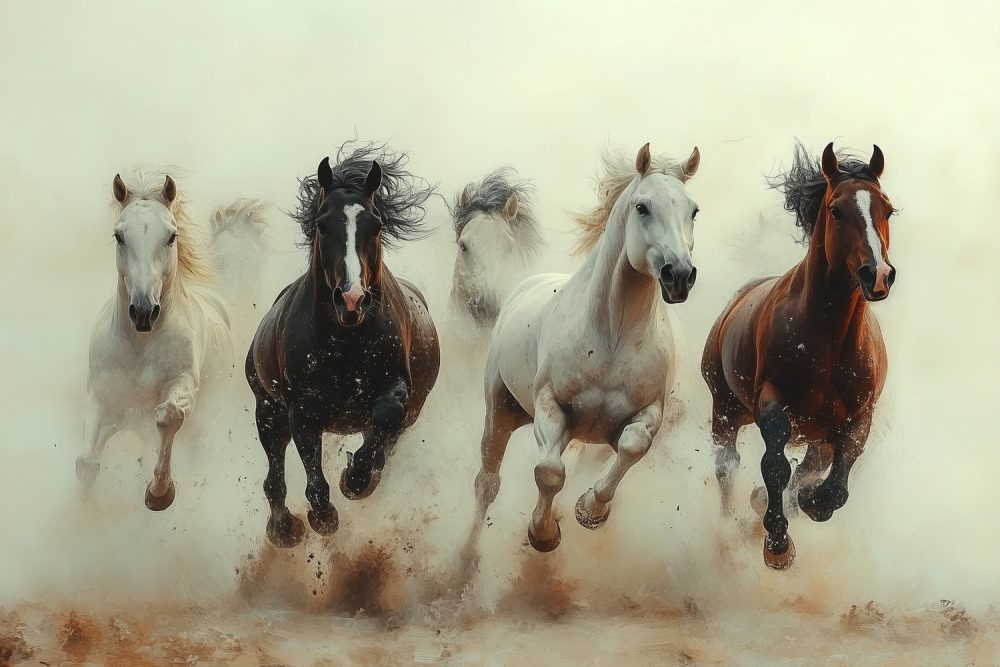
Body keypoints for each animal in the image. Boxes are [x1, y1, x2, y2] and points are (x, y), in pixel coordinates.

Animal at [76, 171, 269, 510]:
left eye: (171, 236)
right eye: (119, 236)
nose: (143, 310)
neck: (140, 345)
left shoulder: (182, 384)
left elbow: (169, 416)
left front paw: (159, 493)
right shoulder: (102, 398)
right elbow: (86, 463)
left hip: (202, 426)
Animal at [246, 143, 440, 548]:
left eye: (376, 225)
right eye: (322, 224)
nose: (352, 299)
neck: (345, 342)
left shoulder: (396, 392)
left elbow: (385, 418)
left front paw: (355, 480)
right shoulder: (301, 408)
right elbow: (313, 478)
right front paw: (323, 518)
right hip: (267, 410)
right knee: (274, 477)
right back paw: (283, 529)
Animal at [466, 143, 701, 554]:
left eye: (693, 210)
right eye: (642, 207)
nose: (680, 275)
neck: (611, 337)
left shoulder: (648, 413)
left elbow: (632, 446)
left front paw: (590, 510)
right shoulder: (551, 405)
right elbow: (548, 472)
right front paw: (543, 534)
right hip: (500, 409)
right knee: (487, 482)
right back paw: (466, 560)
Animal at [701, 141, 896, 569]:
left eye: (888, 209)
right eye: (836, 210)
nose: (877, 274)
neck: (826, 344)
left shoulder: (858, 417)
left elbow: (833, 486)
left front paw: (806, 502)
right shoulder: (772, 402)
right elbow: (775, 466)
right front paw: (777, 543)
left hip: (815, 433)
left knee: (809, 466)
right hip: (725, 407)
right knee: (726, 466)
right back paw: (727, 529)